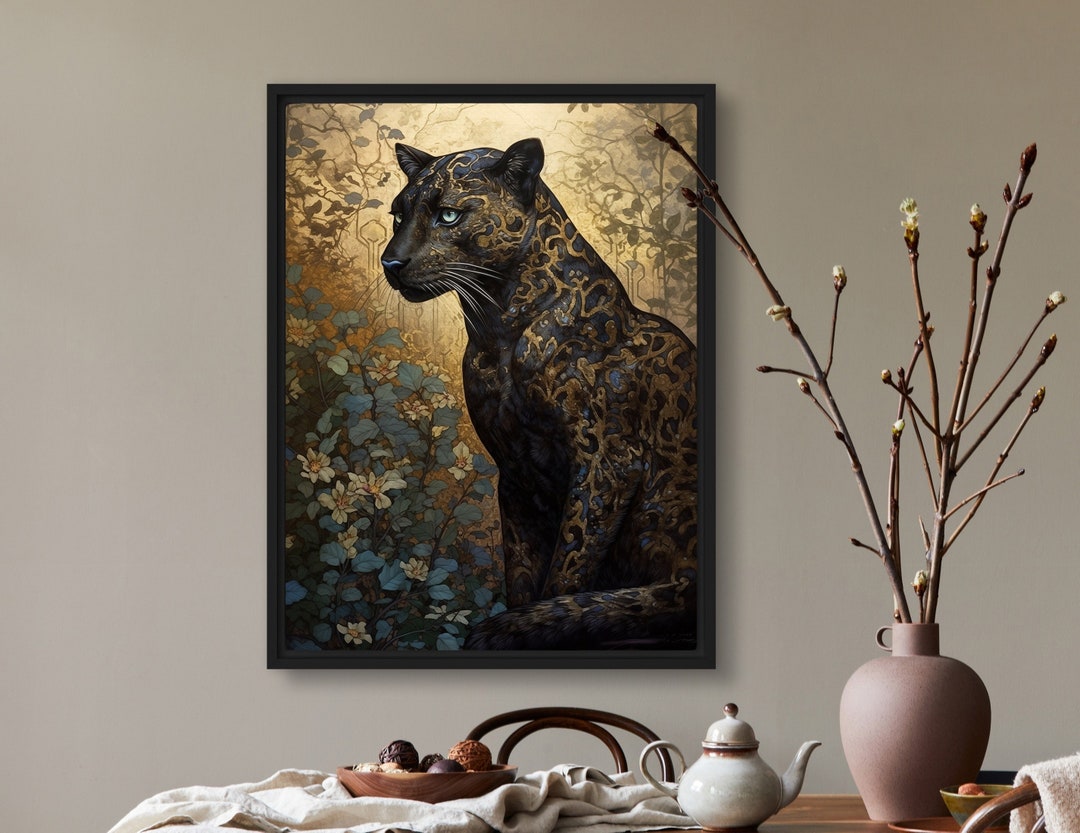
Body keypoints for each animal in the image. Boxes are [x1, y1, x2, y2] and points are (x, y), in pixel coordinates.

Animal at [380, 137, 698, 650]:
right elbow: (523, 569)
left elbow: (568, 566)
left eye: (448, 215)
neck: (497, 329)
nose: (390, 262)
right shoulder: (515, 472)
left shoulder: (606, 464)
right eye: (396, 216)